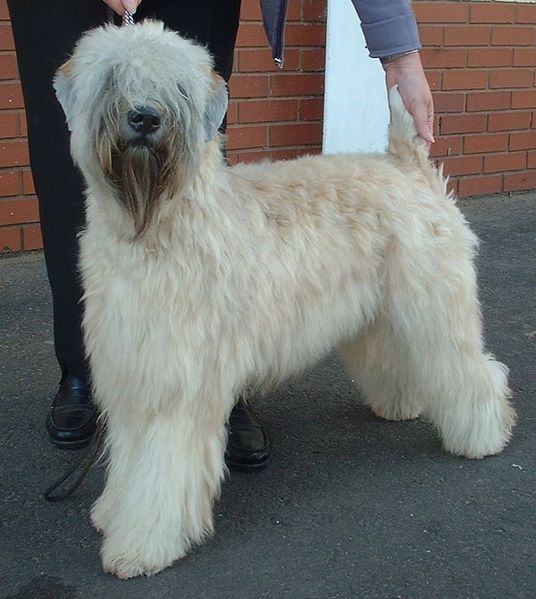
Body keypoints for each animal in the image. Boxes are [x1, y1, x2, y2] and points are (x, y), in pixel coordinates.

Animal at [53, 21, 516, 580]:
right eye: (114, 77)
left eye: (178, 88)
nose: (145, 117)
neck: (157, 228)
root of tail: (407, 165)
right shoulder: (132, 371)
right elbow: (129, 463)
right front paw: (111, 511)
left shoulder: (177, 386)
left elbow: (160, 473)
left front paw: (141, 544)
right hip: (384, 315)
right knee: (399, 358)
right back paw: (400, 404)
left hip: (433, 308)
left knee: (473, 371)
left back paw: (484, 436)